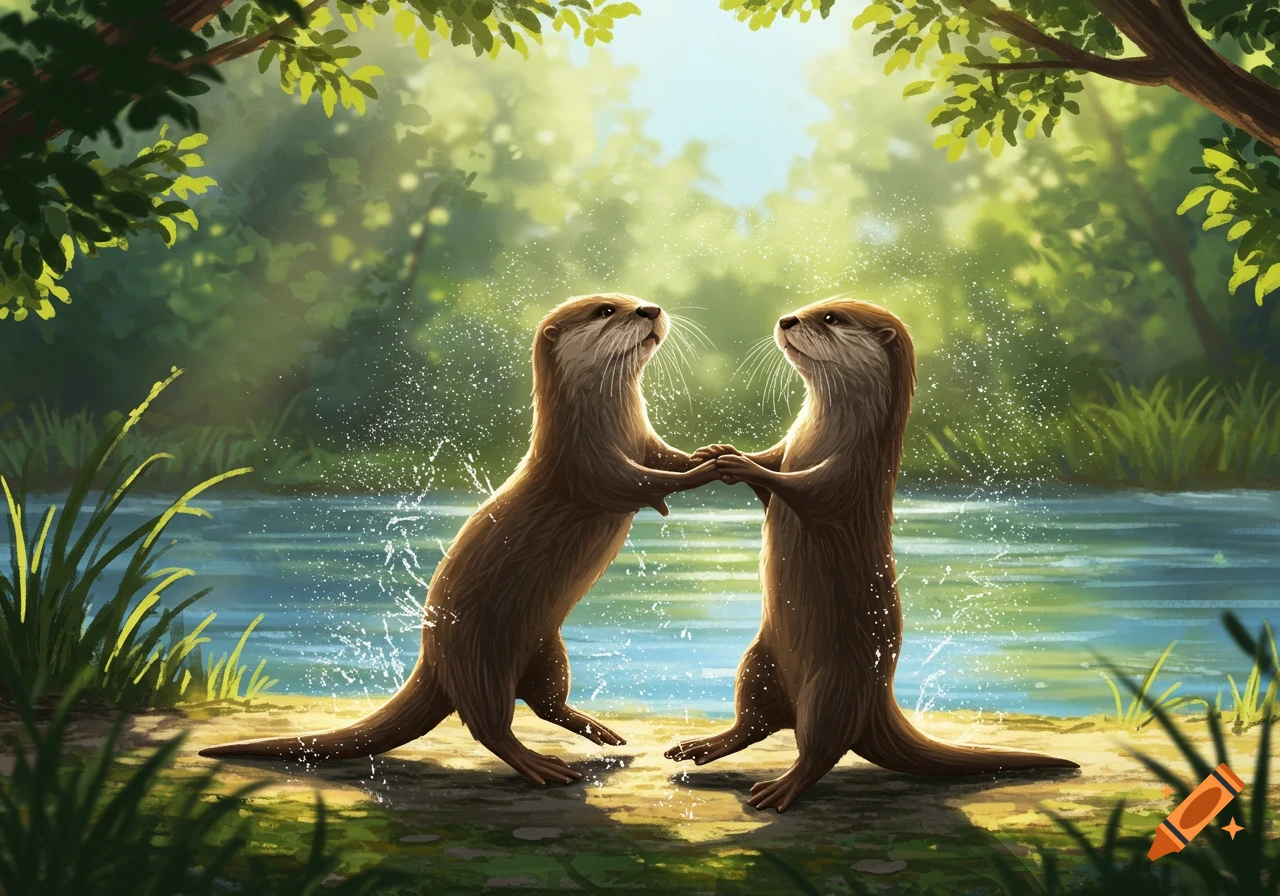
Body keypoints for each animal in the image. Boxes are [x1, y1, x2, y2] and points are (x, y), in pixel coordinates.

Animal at [201, 294, 721, 785]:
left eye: (632, 299)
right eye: (608, 309)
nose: (650, 309)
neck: (608, 420)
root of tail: (432, 659)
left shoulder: (643, 438)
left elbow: (665, 457)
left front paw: (711, 451)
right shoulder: (584, 462)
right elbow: (636, 484)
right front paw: (707, 471)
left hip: (546, 648)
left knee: (547, 702)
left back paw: (601, 731)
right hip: (480, 657)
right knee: (490, 725)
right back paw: (541, 767)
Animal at [665, 298, 1076, 811]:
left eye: (830, 319)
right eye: (812, 308)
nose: (786, 319)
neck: (823, 432)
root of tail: (879, 702)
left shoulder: (851, 473)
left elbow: (803, 489)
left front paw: (737, 463)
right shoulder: (789, 446)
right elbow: (772, 467)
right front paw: (721, 451)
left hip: (833, 688)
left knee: (820, 748)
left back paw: (779, 789)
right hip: (758, 662)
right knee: (753, 723)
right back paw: (701, 745)